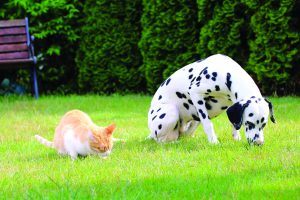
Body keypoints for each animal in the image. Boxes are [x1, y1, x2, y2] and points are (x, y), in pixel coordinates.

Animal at [146, 54, 276, 145]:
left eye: (264, 124)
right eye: (248, 123)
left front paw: (236, 138)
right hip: (171, 111)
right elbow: (208, 123)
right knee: (161, 141)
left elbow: (234, 124)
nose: (259, 143)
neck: (227, 73)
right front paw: (213, 142)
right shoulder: (196, 93)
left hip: (193, 121)